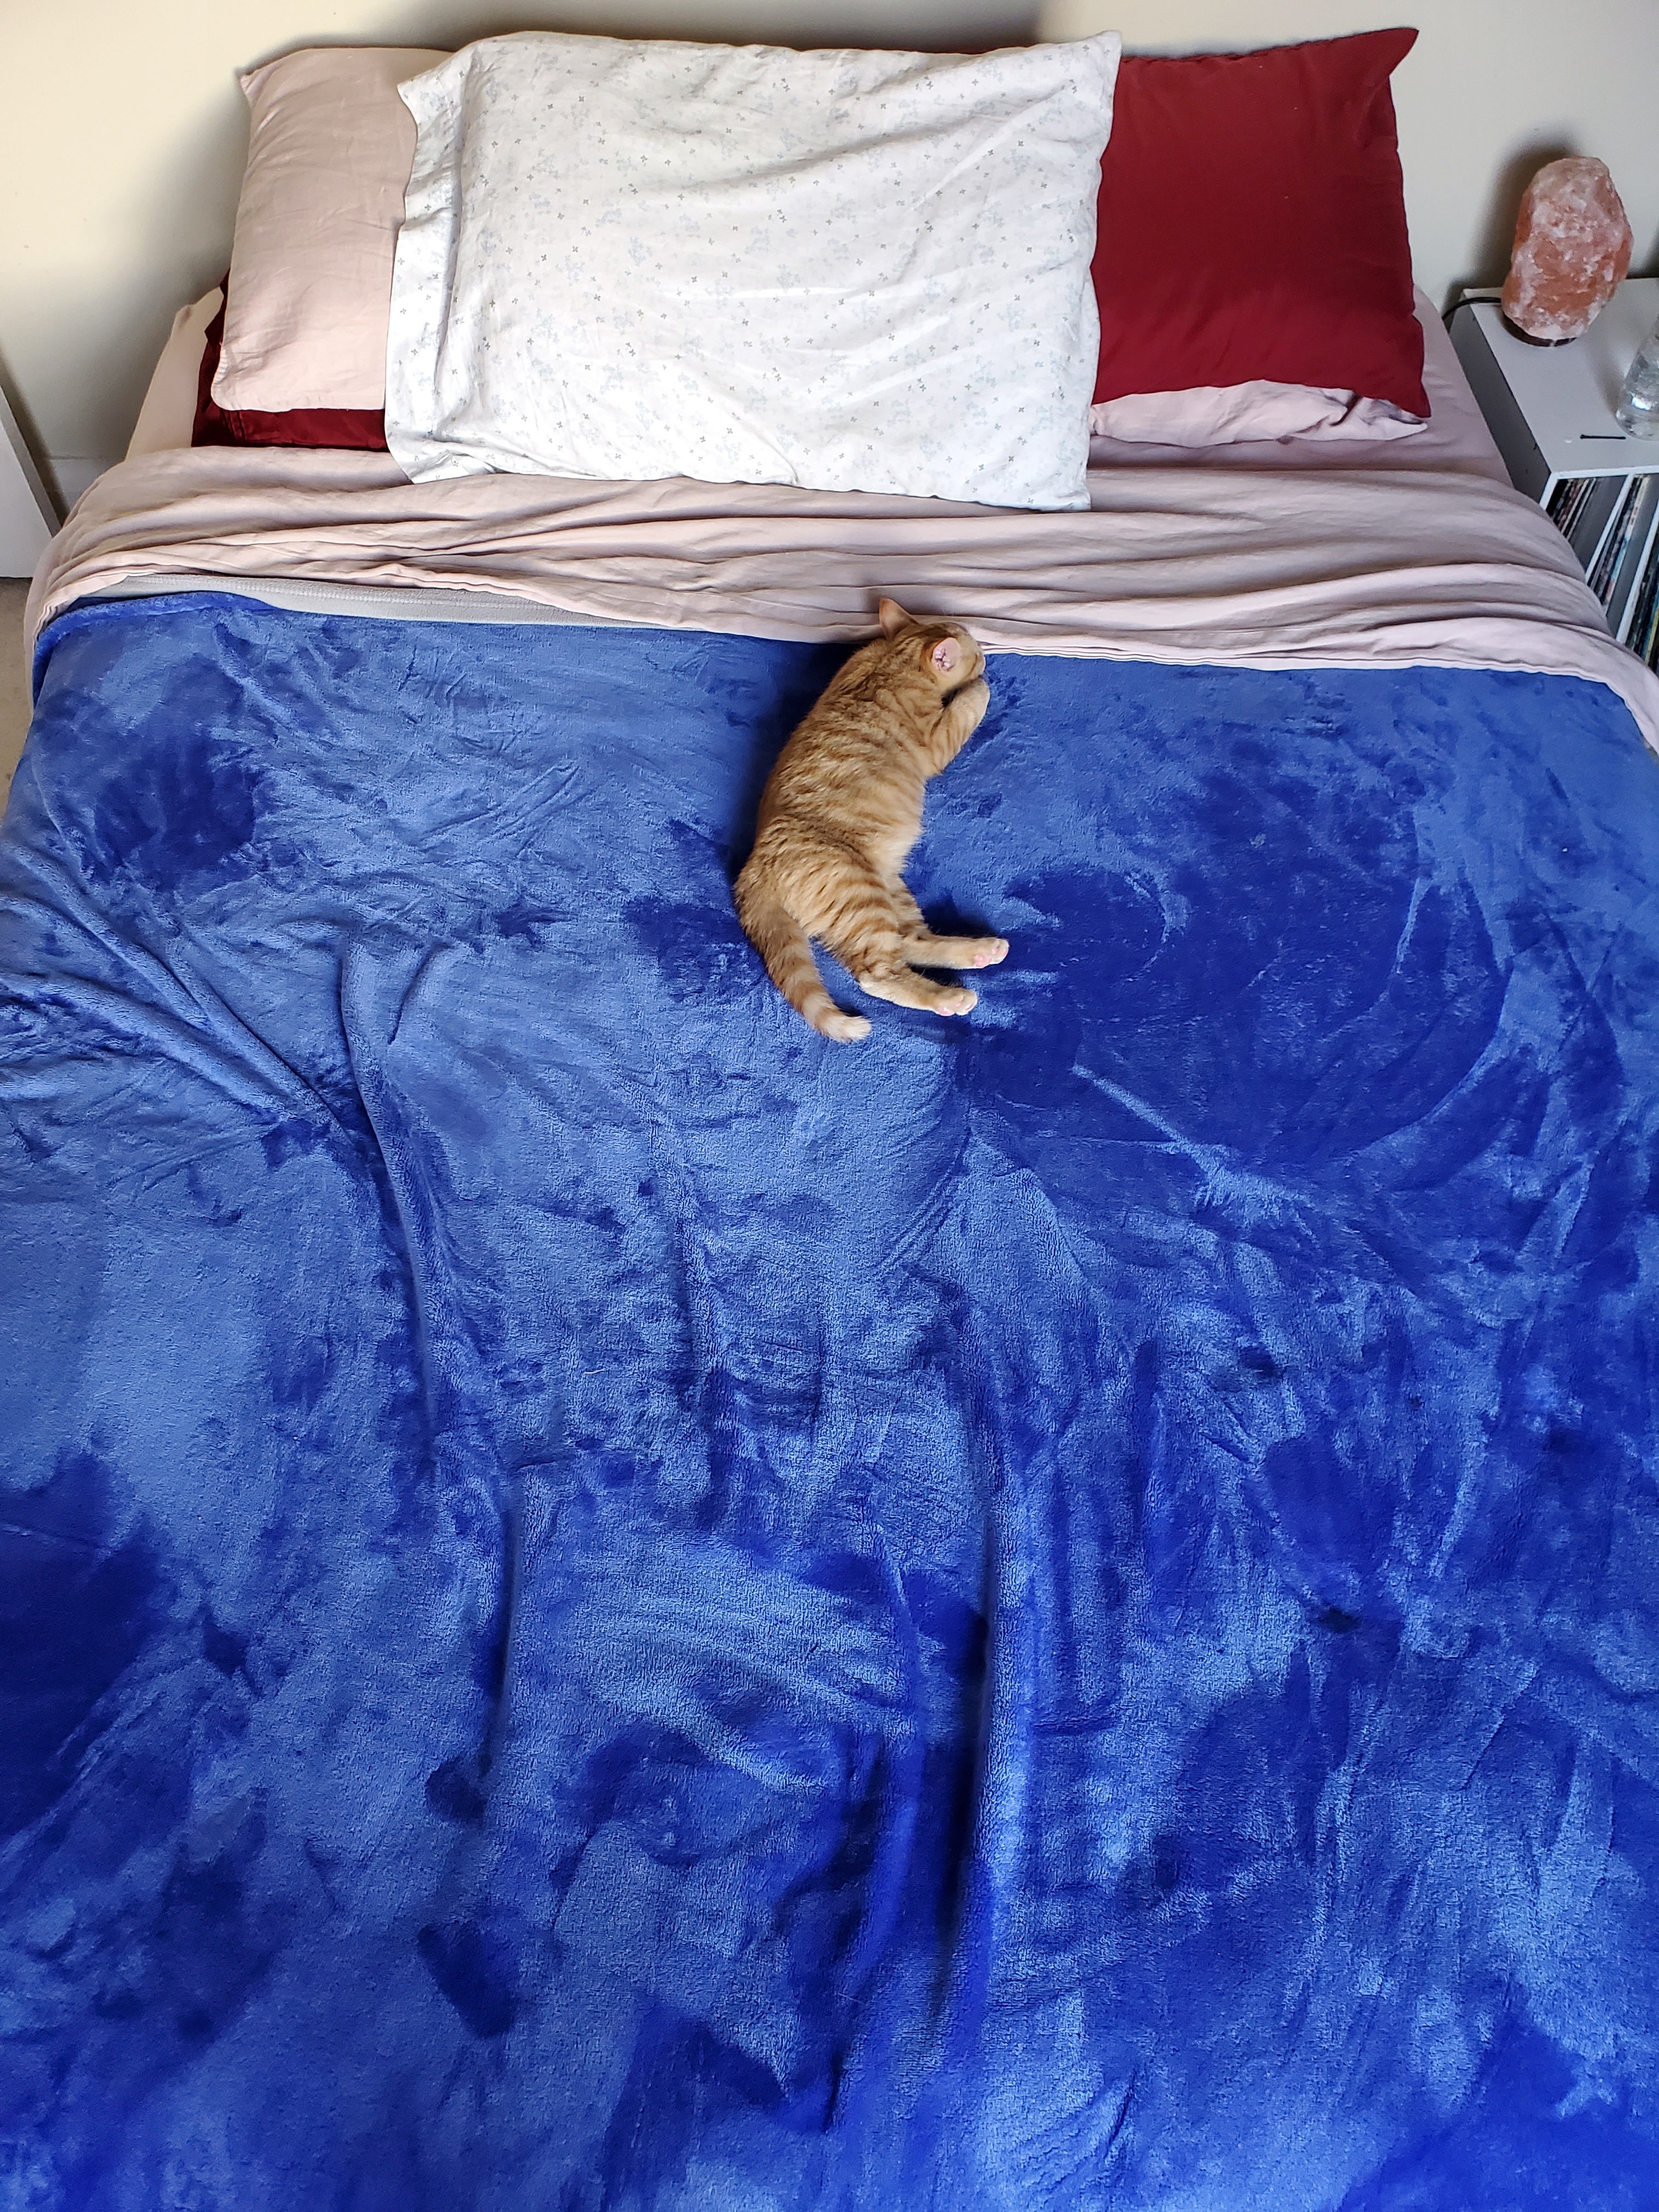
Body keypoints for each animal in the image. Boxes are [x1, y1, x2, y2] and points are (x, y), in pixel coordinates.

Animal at [735, 598, 1007, 1042]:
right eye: (978, 655)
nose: (987, 657)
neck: (891, 662)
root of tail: (754, 866)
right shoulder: (938, 742)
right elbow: (966, 707)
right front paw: (978, 688)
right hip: (861, 896)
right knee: (878, 973)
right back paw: (950, 998)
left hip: (888, 889)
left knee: (911, 942)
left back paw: (979, 950)